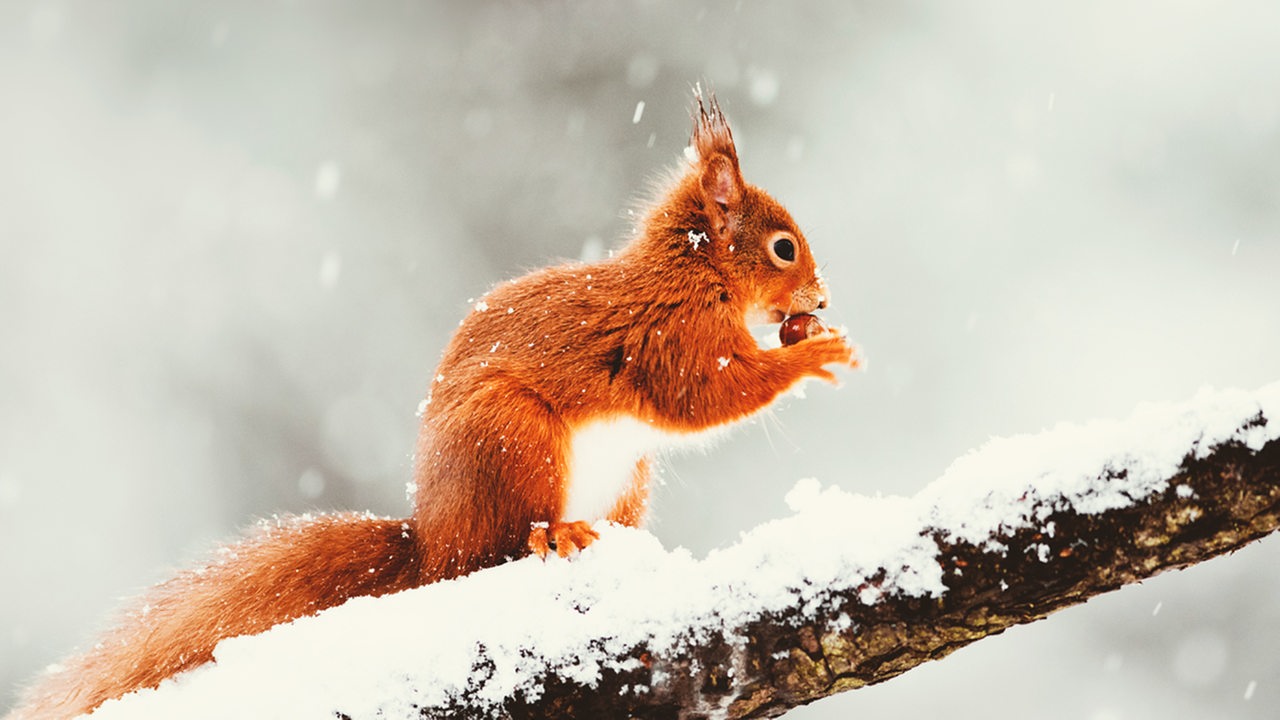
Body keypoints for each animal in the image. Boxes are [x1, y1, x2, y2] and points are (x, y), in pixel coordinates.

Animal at [10, 92, 855, 712]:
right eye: (783, 247)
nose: (820, 299)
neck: (695, 274)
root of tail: (431, 544)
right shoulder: (672, 338)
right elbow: (707, 397)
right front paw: (815, 354)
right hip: (514, 440)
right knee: (495, 551)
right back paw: (553, 536)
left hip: (624, 478)